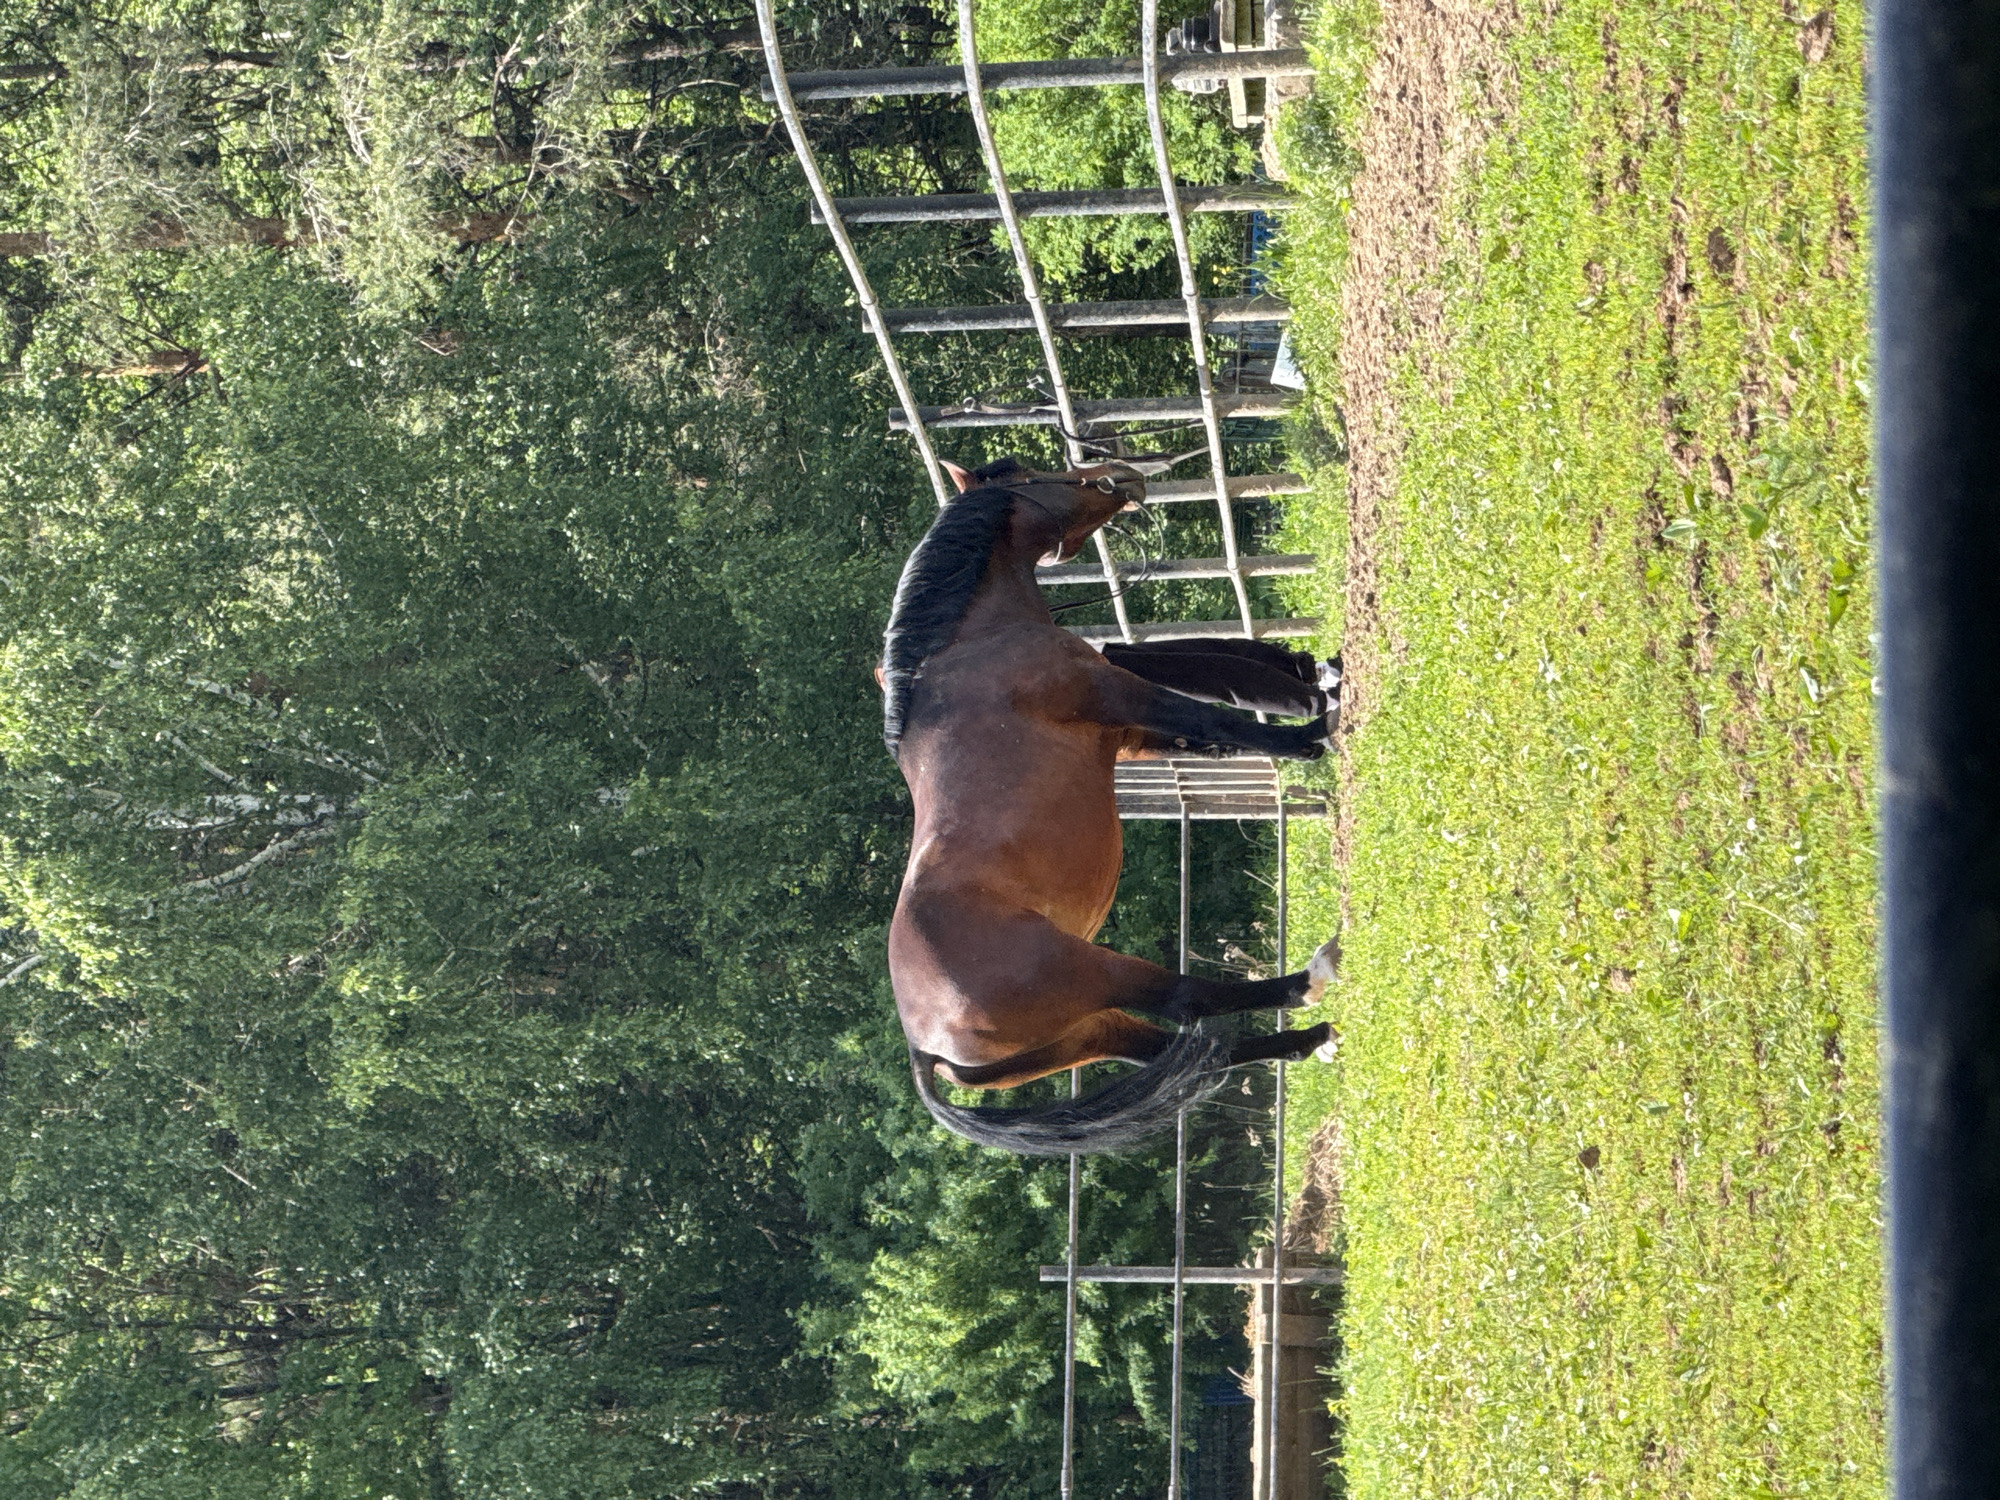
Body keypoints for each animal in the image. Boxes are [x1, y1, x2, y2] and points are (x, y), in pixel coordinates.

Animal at [882, 455, 1342, 1156]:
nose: (1120, 474)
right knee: (1187, 1000)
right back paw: (1310, 980)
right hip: (1101, 972)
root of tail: (921, 1046)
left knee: (1187, 1051)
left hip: (1084, 1034)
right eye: (1030, 472)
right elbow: (1216, 719)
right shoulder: (1117, 692)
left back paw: (1309, 1039)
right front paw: (1315, 733)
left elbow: (1212, 733)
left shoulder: (1130, 737)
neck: (965, 644)